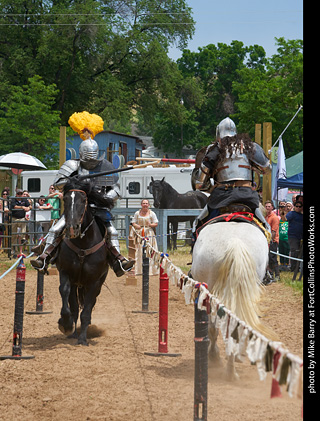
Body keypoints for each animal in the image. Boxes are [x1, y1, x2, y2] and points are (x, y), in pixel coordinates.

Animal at [53, 177, 111, 344]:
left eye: (84, 199)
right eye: (65, 199)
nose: (72, 228)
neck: (83, 245)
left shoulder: (94, 282)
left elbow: (87, 310)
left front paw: (83, 339)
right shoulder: (66, 274)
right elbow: (65, 294)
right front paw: (65, 325)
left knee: (89, 305)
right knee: (74, 305)